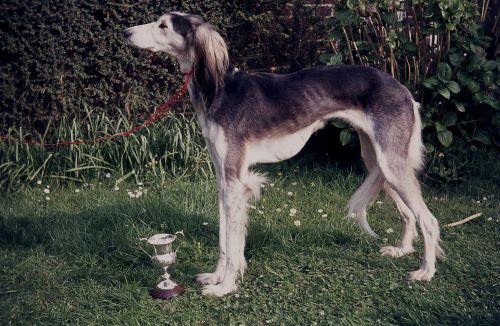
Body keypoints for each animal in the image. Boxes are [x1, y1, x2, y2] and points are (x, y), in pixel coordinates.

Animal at [125, 11, 442, 296]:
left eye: (163, 25)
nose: (127, 32)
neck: (220, 88)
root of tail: (403, 89)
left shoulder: (235, 181)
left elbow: (232, 240)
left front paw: (225, 286)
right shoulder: (224, 180)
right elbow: (224, 239)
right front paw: (216, 277)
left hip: (390, 163)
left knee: (428, 219)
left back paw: (425, 271)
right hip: (378, 161)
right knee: (408, 214)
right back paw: (402, 250)